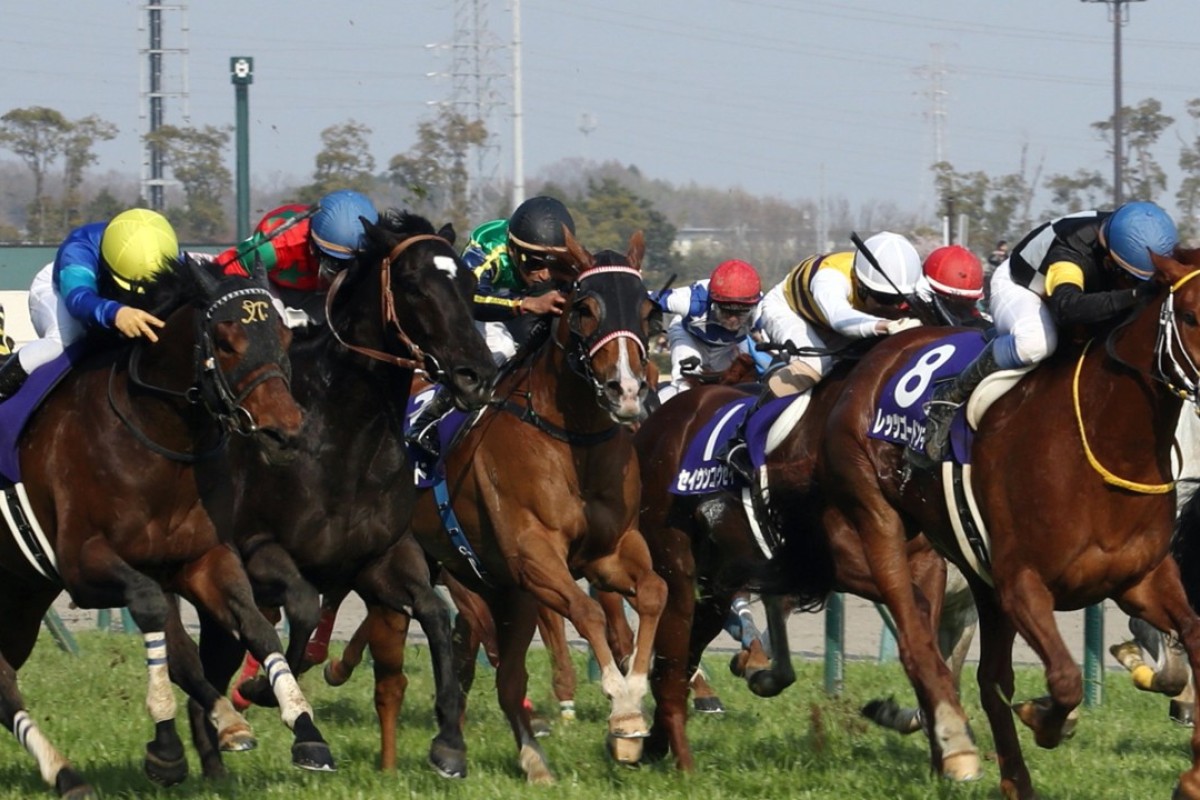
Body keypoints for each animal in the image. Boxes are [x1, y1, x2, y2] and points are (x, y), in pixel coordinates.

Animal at [0, 257, 333, 800]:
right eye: (226, 340)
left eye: (284, 336)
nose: (284, 432)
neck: (157, 436)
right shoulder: (83, 565)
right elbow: (154, 614)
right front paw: (167, 746)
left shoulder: (199, 559)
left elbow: (253, 625)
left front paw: (302, 730)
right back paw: (65, 771)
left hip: (20, 597)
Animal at [184, 209, 494, 777]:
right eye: (413, 284)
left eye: (467, 282)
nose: (476, 375)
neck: (342, 438)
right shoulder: (257, 550)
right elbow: (304, 610)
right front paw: (266, 695)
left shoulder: (377, 560)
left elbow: (436, 615)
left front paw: (448, 742)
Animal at [758, 247, 1200, 796]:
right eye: (1190, 314)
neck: (1103, 441)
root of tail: (869, 359)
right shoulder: (1021, 584)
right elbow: (1064, 679)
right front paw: (1044, 718)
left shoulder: (1138, 577)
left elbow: (1190, 637)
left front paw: (1190, 773)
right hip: (877, 520)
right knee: (917, 644)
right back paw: (956, 744)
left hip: (967, 574)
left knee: (984, 676)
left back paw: (1006, 775)